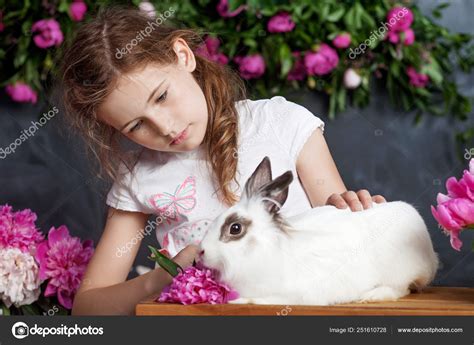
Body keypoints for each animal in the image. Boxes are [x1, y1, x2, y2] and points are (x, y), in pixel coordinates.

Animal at [198, 156, 438, 304]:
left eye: (235, 228)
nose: (201, 252)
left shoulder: (291, 295)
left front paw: (238, 301)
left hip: (397, 273)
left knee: (401, 288)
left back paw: (371, 296)